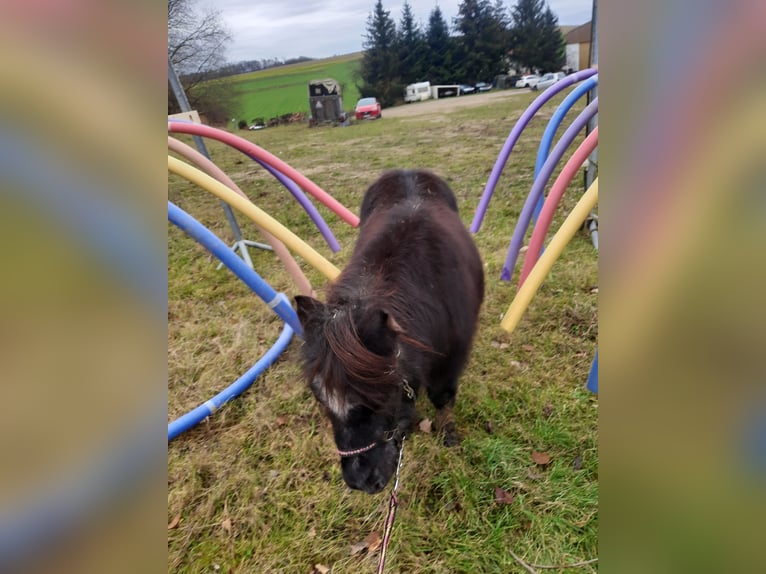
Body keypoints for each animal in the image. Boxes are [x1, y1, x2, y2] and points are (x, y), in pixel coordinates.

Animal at [296, 170, 484, 496]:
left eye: (381, 394)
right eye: (319, 395)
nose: (361, 481)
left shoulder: (452, 359)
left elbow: (443, 397)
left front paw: (449, 435)